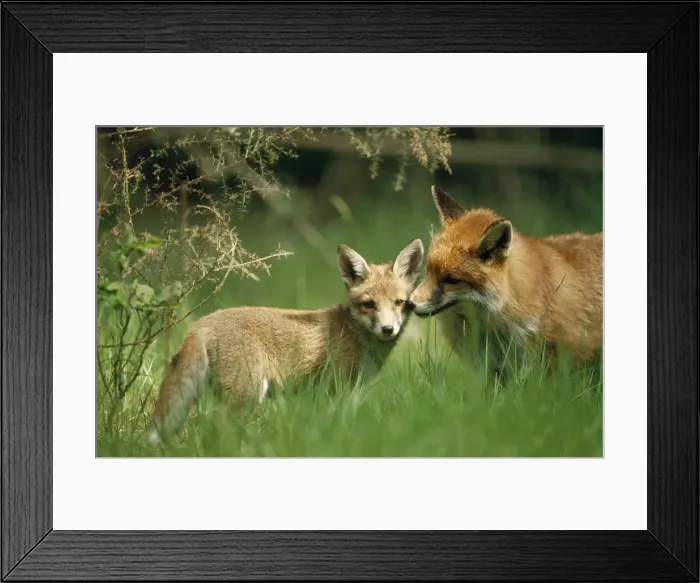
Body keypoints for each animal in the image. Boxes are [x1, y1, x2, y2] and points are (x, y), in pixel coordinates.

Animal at [147, 238, 424, 444]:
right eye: (369, 304)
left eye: (399, 303)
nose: (388, 329)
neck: (353, 332)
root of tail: (201, 323)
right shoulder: (337, 388)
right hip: (246, 395)